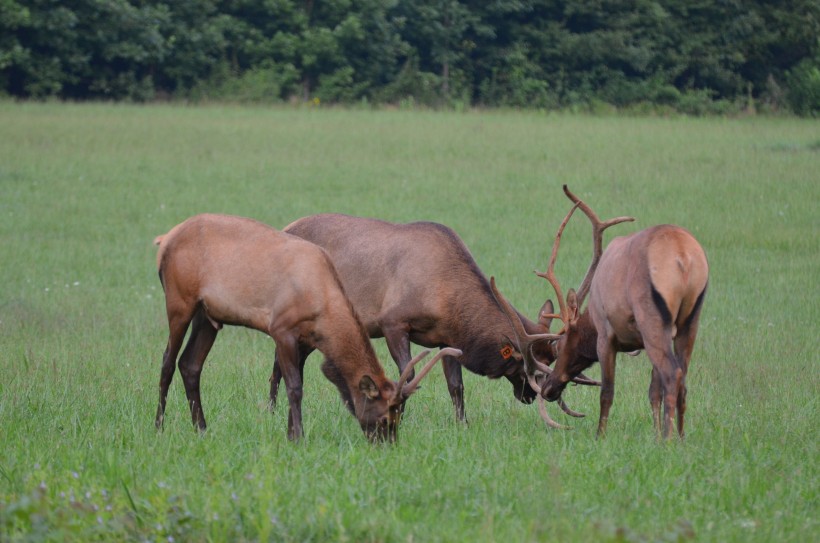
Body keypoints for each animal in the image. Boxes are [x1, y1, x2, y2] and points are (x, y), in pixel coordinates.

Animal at [152, 212, 454, 442]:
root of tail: (164, 239)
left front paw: (290, 432)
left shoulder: (305, 339)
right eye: (384, 418)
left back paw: (202, 429)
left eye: (397, 418)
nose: (387, 444)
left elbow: (298, 382)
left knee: (190, 364)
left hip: (208, 317)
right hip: (179, 301)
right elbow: (294, 386)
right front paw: (298, 437)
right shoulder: (281, 329)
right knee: (167, 361)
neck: (322, 302)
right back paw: (159, 426)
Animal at [272, 212, 600, 430]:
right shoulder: (393, 322)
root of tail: (285, 226)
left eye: (550, 361)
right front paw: (398, 416)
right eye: (525, 366)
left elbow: (456, 385)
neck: (445, 298)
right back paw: (271, 409)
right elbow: (408, 374)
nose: (533, 395)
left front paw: (462, 424)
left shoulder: (447, 338)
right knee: (280, 362)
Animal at [494, 185, 712, 440]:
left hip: (652, 319)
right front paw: (655, 434)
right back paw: (680, 436)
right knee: (682, 378)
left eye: (560, 345)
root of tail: (684, 257)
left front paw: (601, 436)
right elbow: (652, 389)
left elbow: (607, 390)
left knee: (672, 373)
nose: (548, 389)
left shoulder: (606, 334)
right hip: (690, 319)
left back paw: (668, 440)